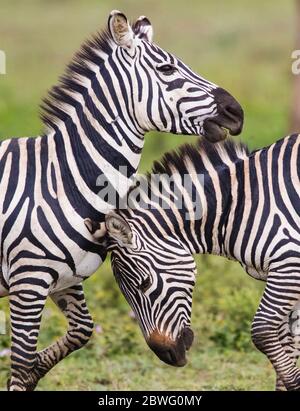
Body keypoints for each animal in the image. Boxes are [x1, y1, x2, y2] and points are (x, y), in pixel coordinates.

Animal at [0, 10, 244, 392]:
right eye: (167, 70)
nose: (236, 111)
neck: (63, 179)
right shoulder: (28, 280)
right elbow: (22, 359)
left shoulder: (67, 278)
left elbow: (80, 332)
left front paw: (37, 368)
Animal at [88, 136, 300, 392]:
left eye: (145, 283)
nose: (168, 356)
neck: (234, 204)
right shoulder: (282, 272)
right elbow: (288, 339)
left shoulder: (289, 263)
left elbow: (263, 330)